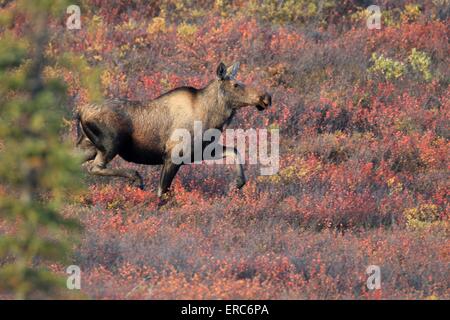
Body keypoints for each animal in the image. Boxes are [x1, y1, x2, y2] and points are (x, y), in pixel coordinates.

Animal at [76, 62, 272, 198]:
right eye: (236, 85)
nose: (266, 97)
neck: (213, 119)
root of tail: (80, 111)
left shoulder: (200, 152)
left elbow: (234, 151)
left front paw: (237, 183)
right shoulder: (173, 156)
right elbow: (162, 193)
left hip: (88, 146)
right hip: (111, 144)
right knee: (95, 167)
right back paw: (136, 177)